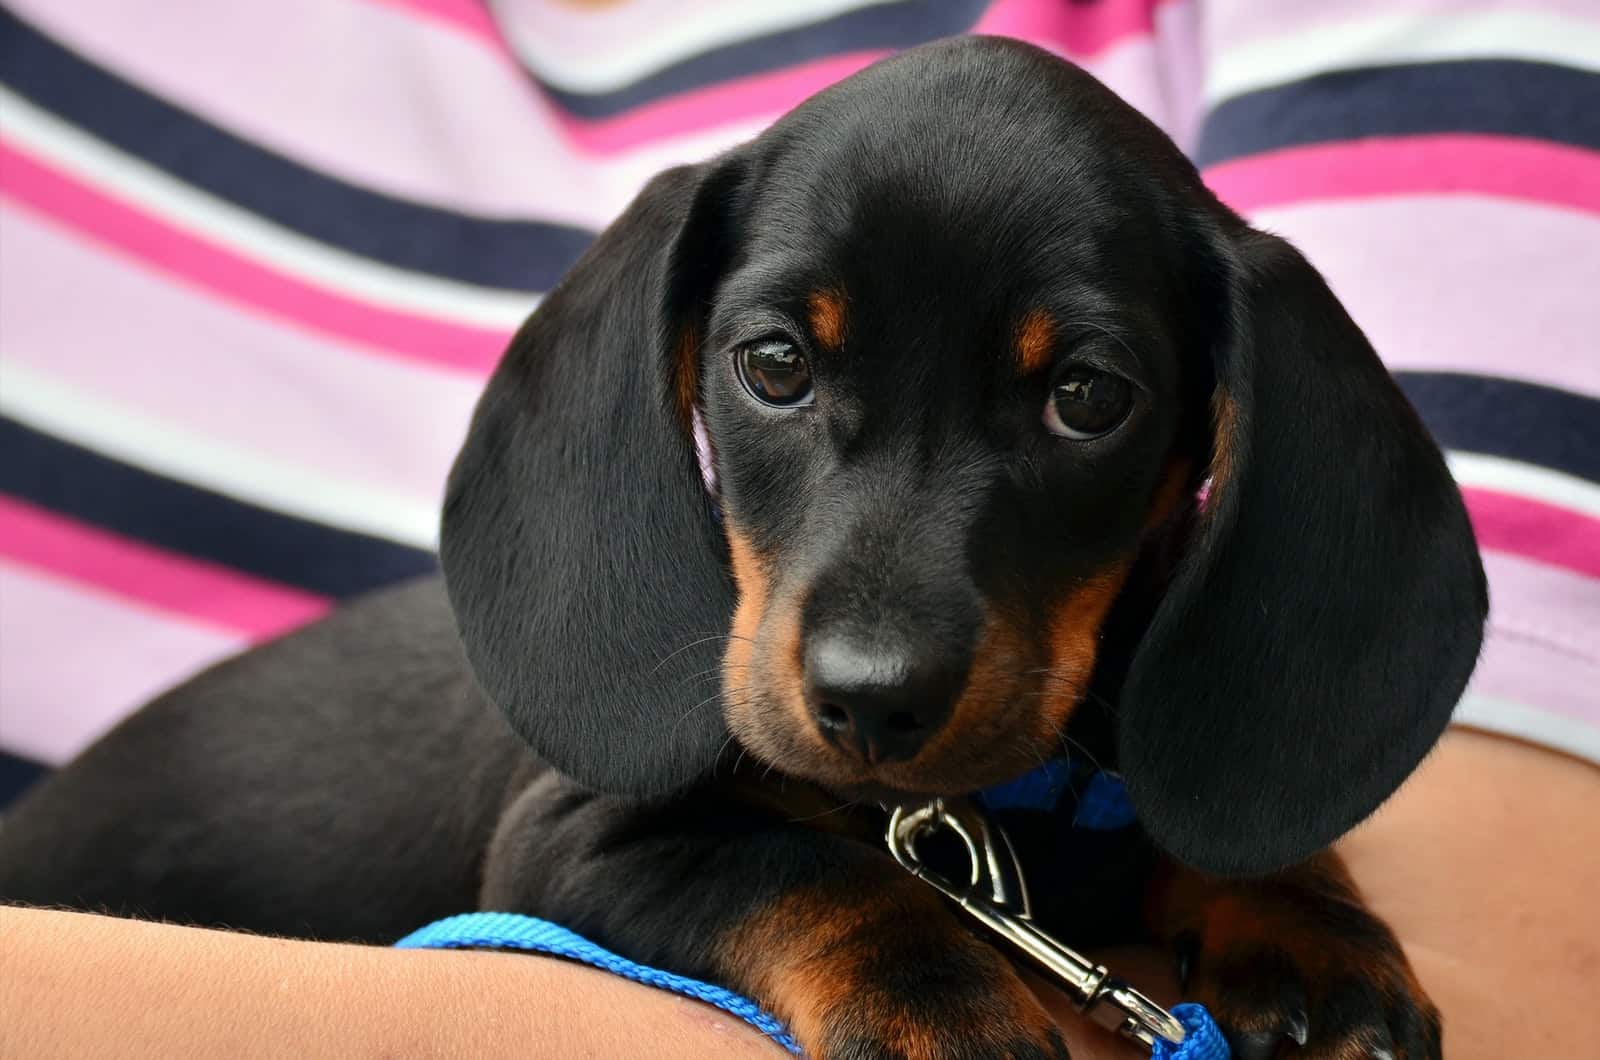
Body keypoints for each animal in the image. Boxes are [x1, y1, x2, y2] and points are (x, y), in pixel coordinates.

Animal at [0, 37, 1484, 1056]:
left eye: (1088, 397)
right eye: (774, 364)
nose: (871, 701)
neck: (985, 818)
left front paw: (1306, 921)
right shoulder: (573, 844)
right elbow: (811, 869)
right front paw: (945, 1003)